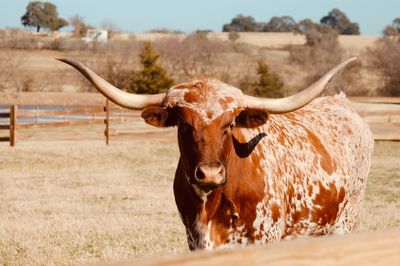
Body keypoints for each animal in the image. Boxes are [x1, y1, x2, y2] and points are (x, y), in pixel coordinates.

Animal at [57, 57, 374, 250]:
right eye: (183, 124)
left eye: (230, 124)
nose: (209, 173)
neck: (213, 204)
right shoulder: (196, 240)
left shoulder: (265, 238)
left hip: (346, 222)